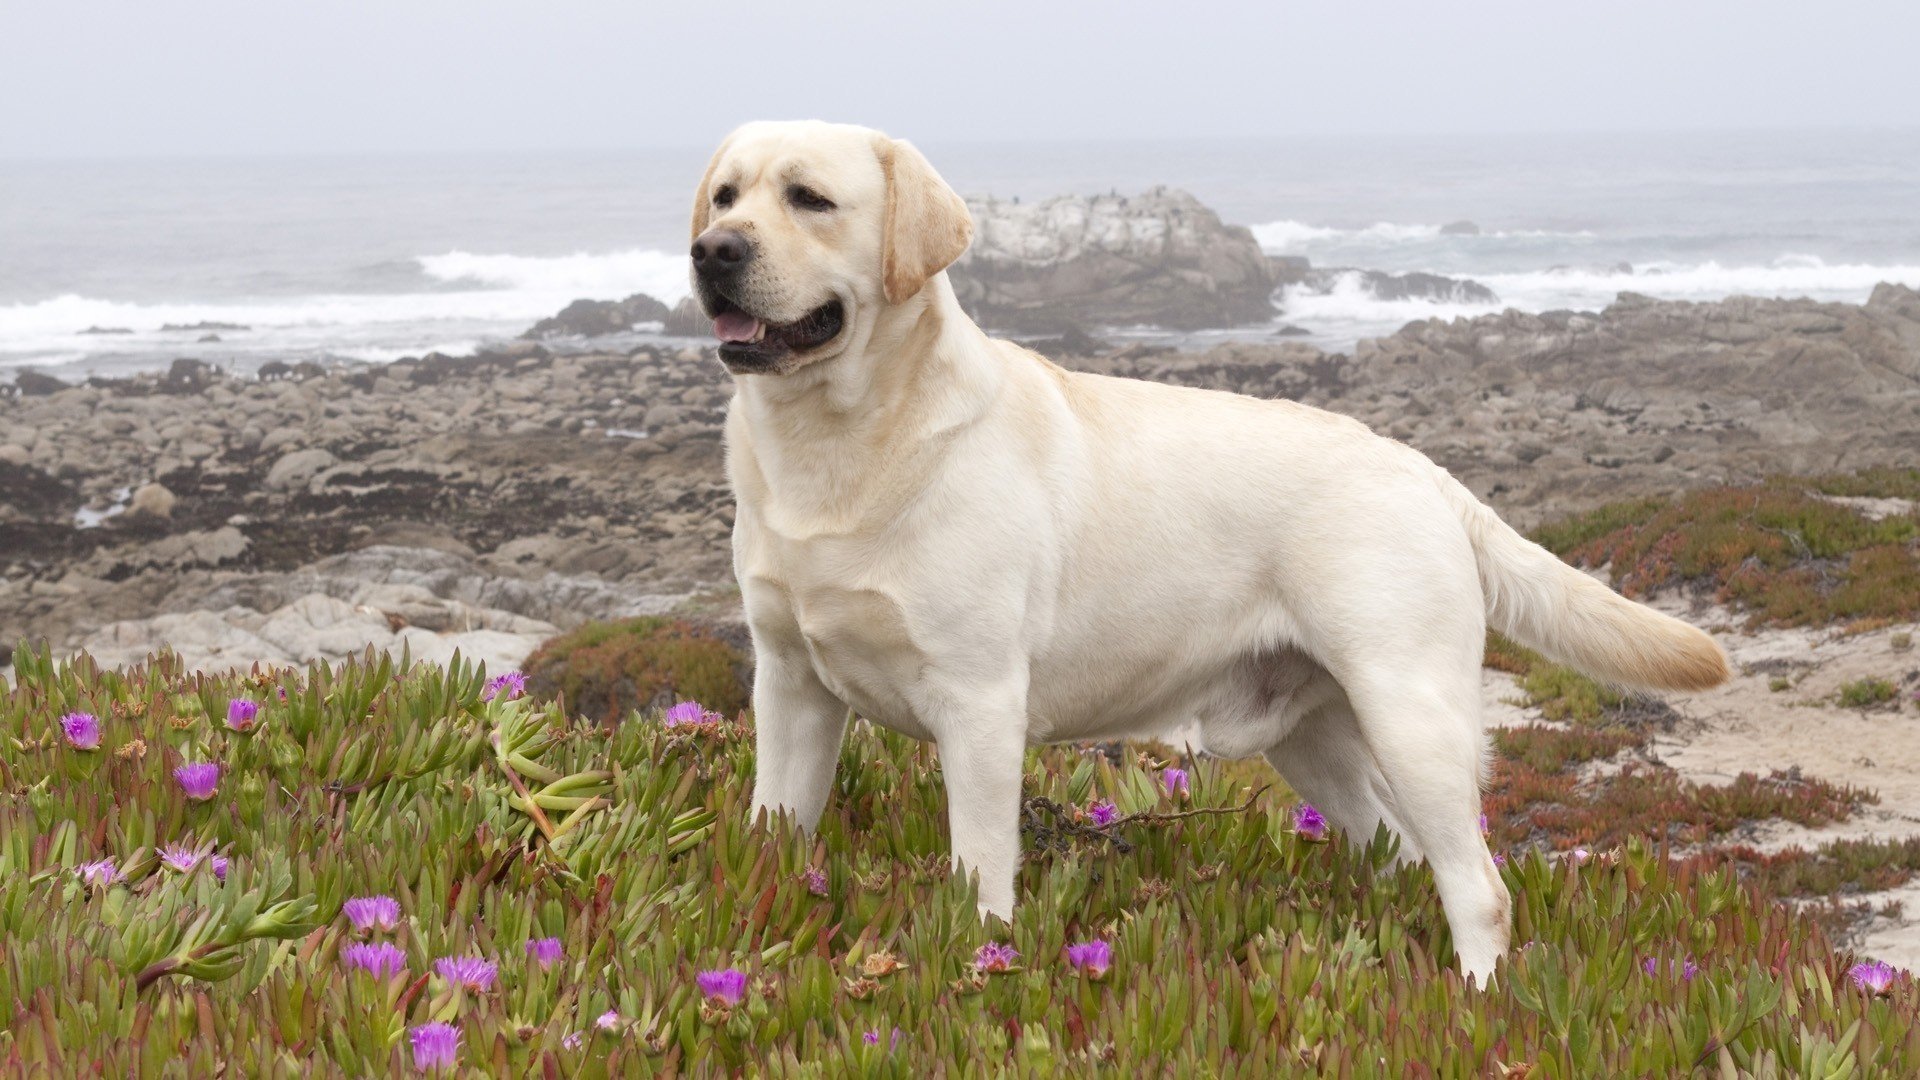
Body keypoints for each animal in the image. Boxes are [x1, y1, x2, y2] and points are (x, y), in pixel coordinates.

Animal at [687, 122, 1728, 980]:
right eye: (726, 195)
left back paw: (1476, 1005)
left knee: (1482, 887)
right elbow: (776, 826)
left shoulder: (978, 705)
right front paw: (761, 912)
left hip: (1413, 716)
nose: (711, 251)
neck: (837, 447)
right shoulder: (790, 686)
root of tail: (1428, 472)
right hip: (1317, 739)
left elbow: (979, 873)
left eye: (810, 198)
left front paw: (981, 957)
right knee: (1398, 852)